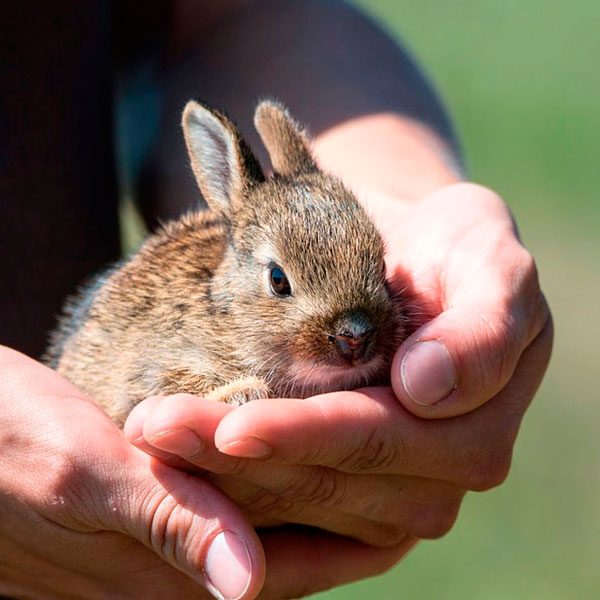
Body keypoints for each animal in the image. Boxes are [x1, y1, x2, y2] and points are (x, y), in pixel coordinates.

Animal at [45, 101, 404, 424]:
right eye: (278, 280)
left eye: (382, 266)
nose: (354, 336)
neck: (229, 319)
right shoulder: (151, 370)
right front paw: (243, 392)